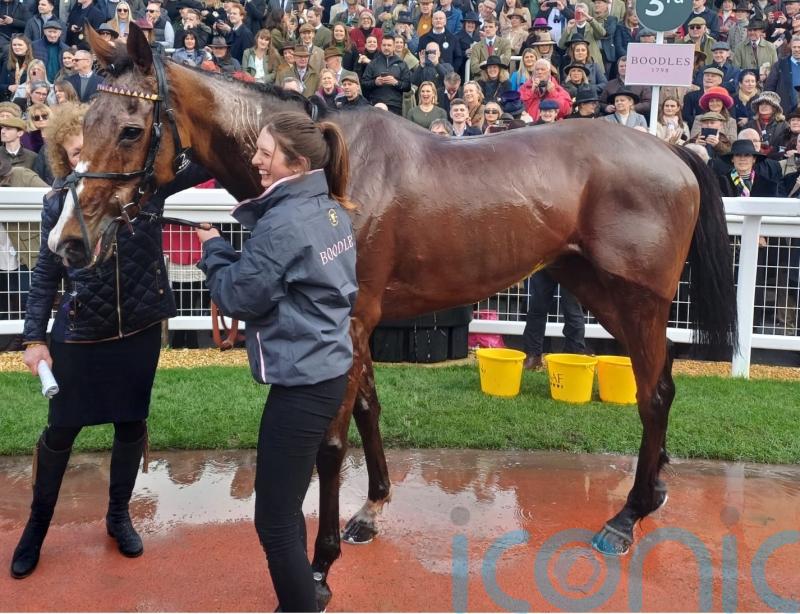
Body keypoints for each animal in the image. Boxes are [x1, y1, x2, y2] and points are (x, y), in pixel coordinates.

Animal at [47, 26, 737, 608]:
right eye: (88, 121)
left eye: (131, 129)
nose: (69, 240)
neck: (331, 172)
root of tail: (674, 154)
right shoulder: (357, 327)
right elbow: (368, 410)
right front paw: (372, 509)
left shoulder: (348, 319)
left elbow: (329, 445)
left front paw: (320, 566)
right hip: (598, 290)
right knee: (659, 382)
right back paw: (655, 489)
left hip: (636, 300)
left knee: (655, 393)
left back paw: (626, 517)